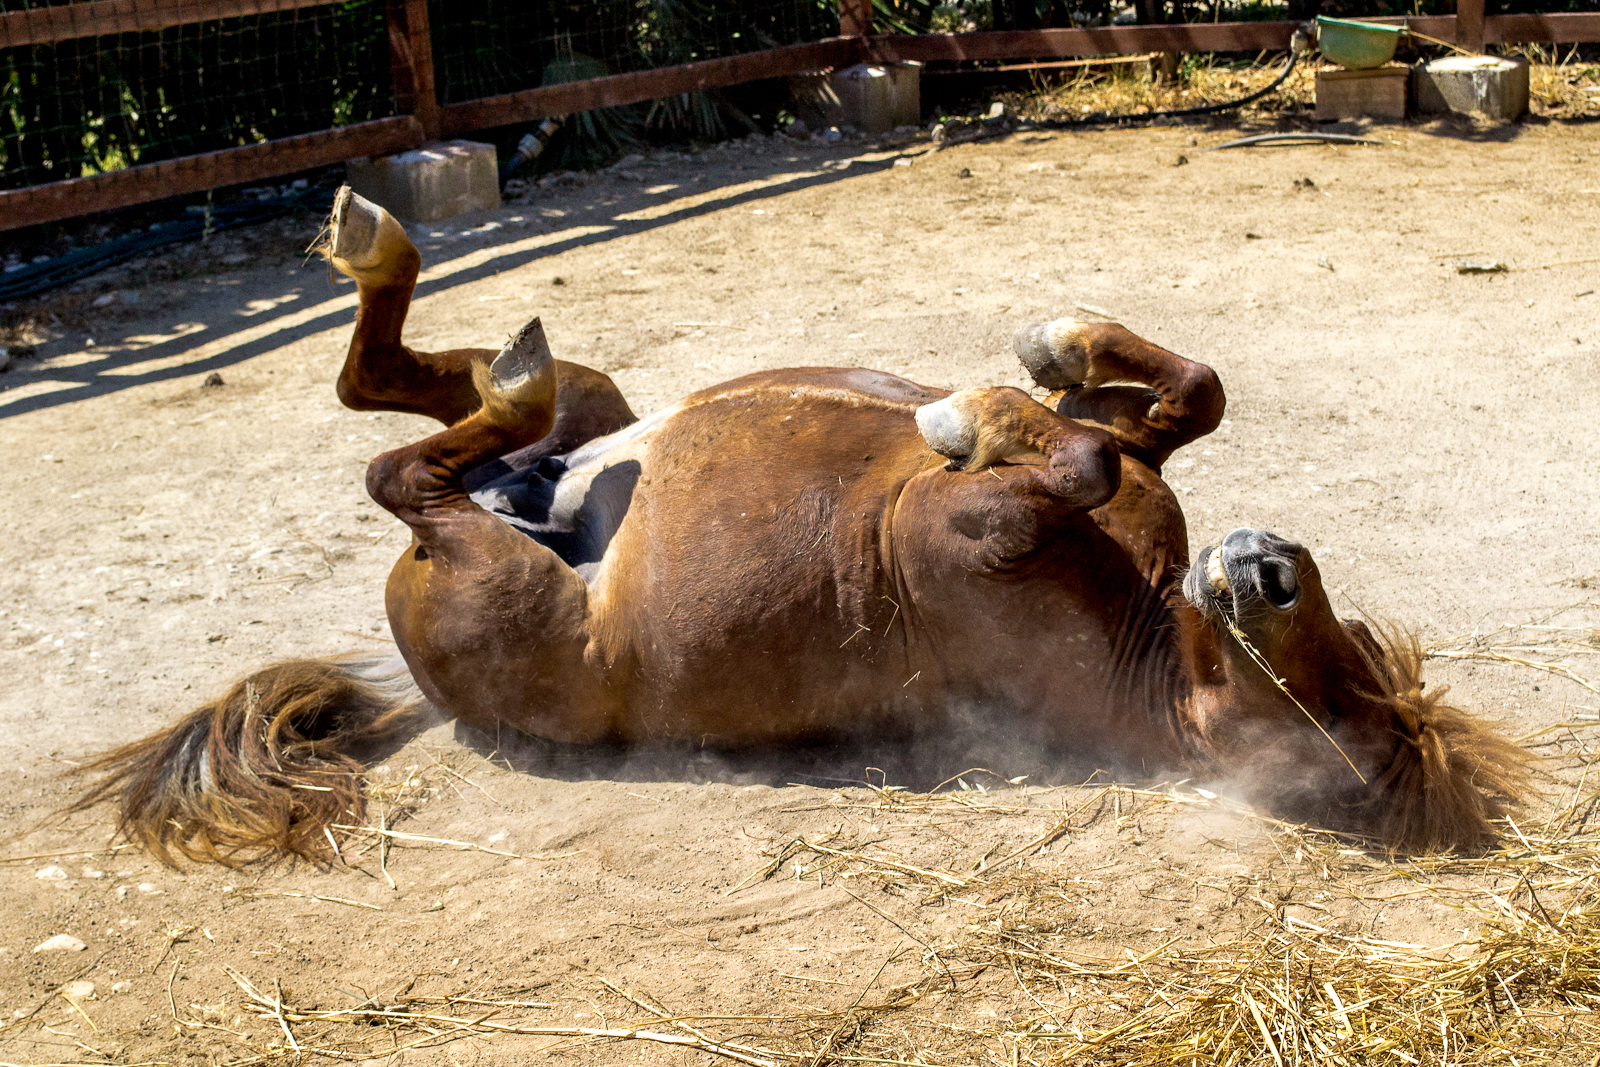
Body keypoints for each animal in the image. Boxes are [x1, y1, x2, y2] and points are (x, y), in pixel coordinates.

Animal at [72, 188, 1526, 866]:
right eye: (1352, 657)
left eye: (1340, 718)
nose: (1267, 568)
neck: (1136, 627)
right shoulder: (1142, 483)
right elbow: (1166, 404)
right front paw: (1055, 349)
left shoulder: (978, 534)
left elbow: (1069, 447)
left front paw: (979, 408)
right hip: (598, 400)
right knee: (405, 383)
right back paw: (419, 288)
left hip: (493, 578)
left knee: (404, 462)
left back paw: (472, 368)